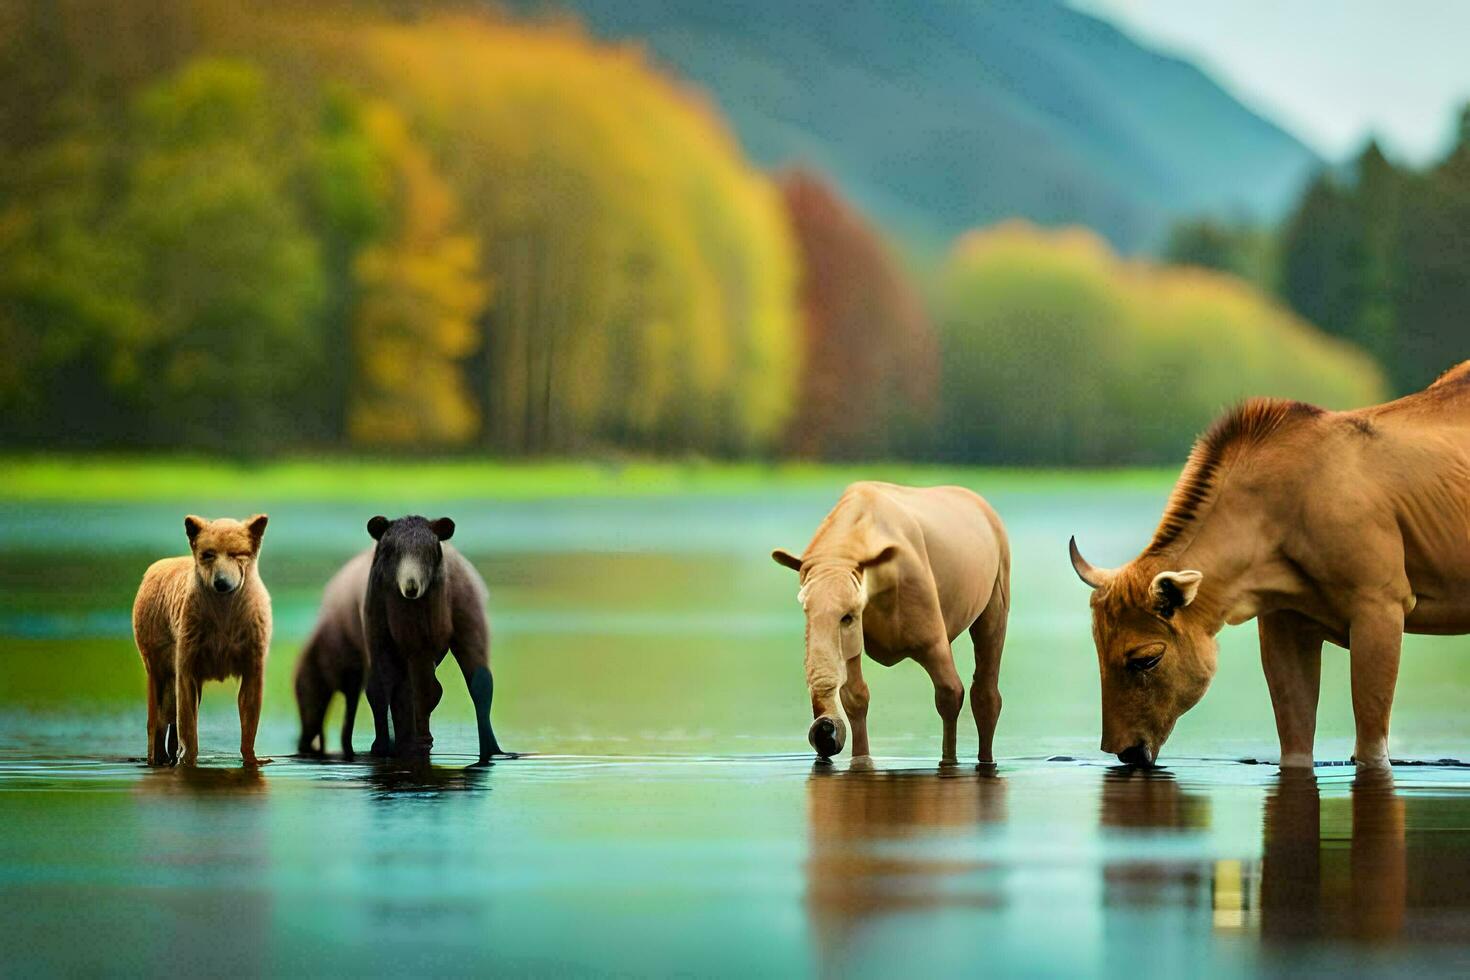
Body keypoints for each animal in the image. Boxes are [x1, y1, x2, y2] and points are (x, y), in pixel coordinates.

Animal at [133, 514, 271, 764]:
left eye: (237, 553)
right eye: (208, 554)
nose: (222, 582)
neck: (224, 616)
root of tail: (152, 569)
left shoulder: (252, 666)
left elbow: (249, 728)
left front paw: (253, 759)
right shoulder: (187, 665)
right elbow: (188, 728)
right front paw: (187, 759)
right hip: (157, 666)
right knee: (156, 722)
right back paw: (157, 758)